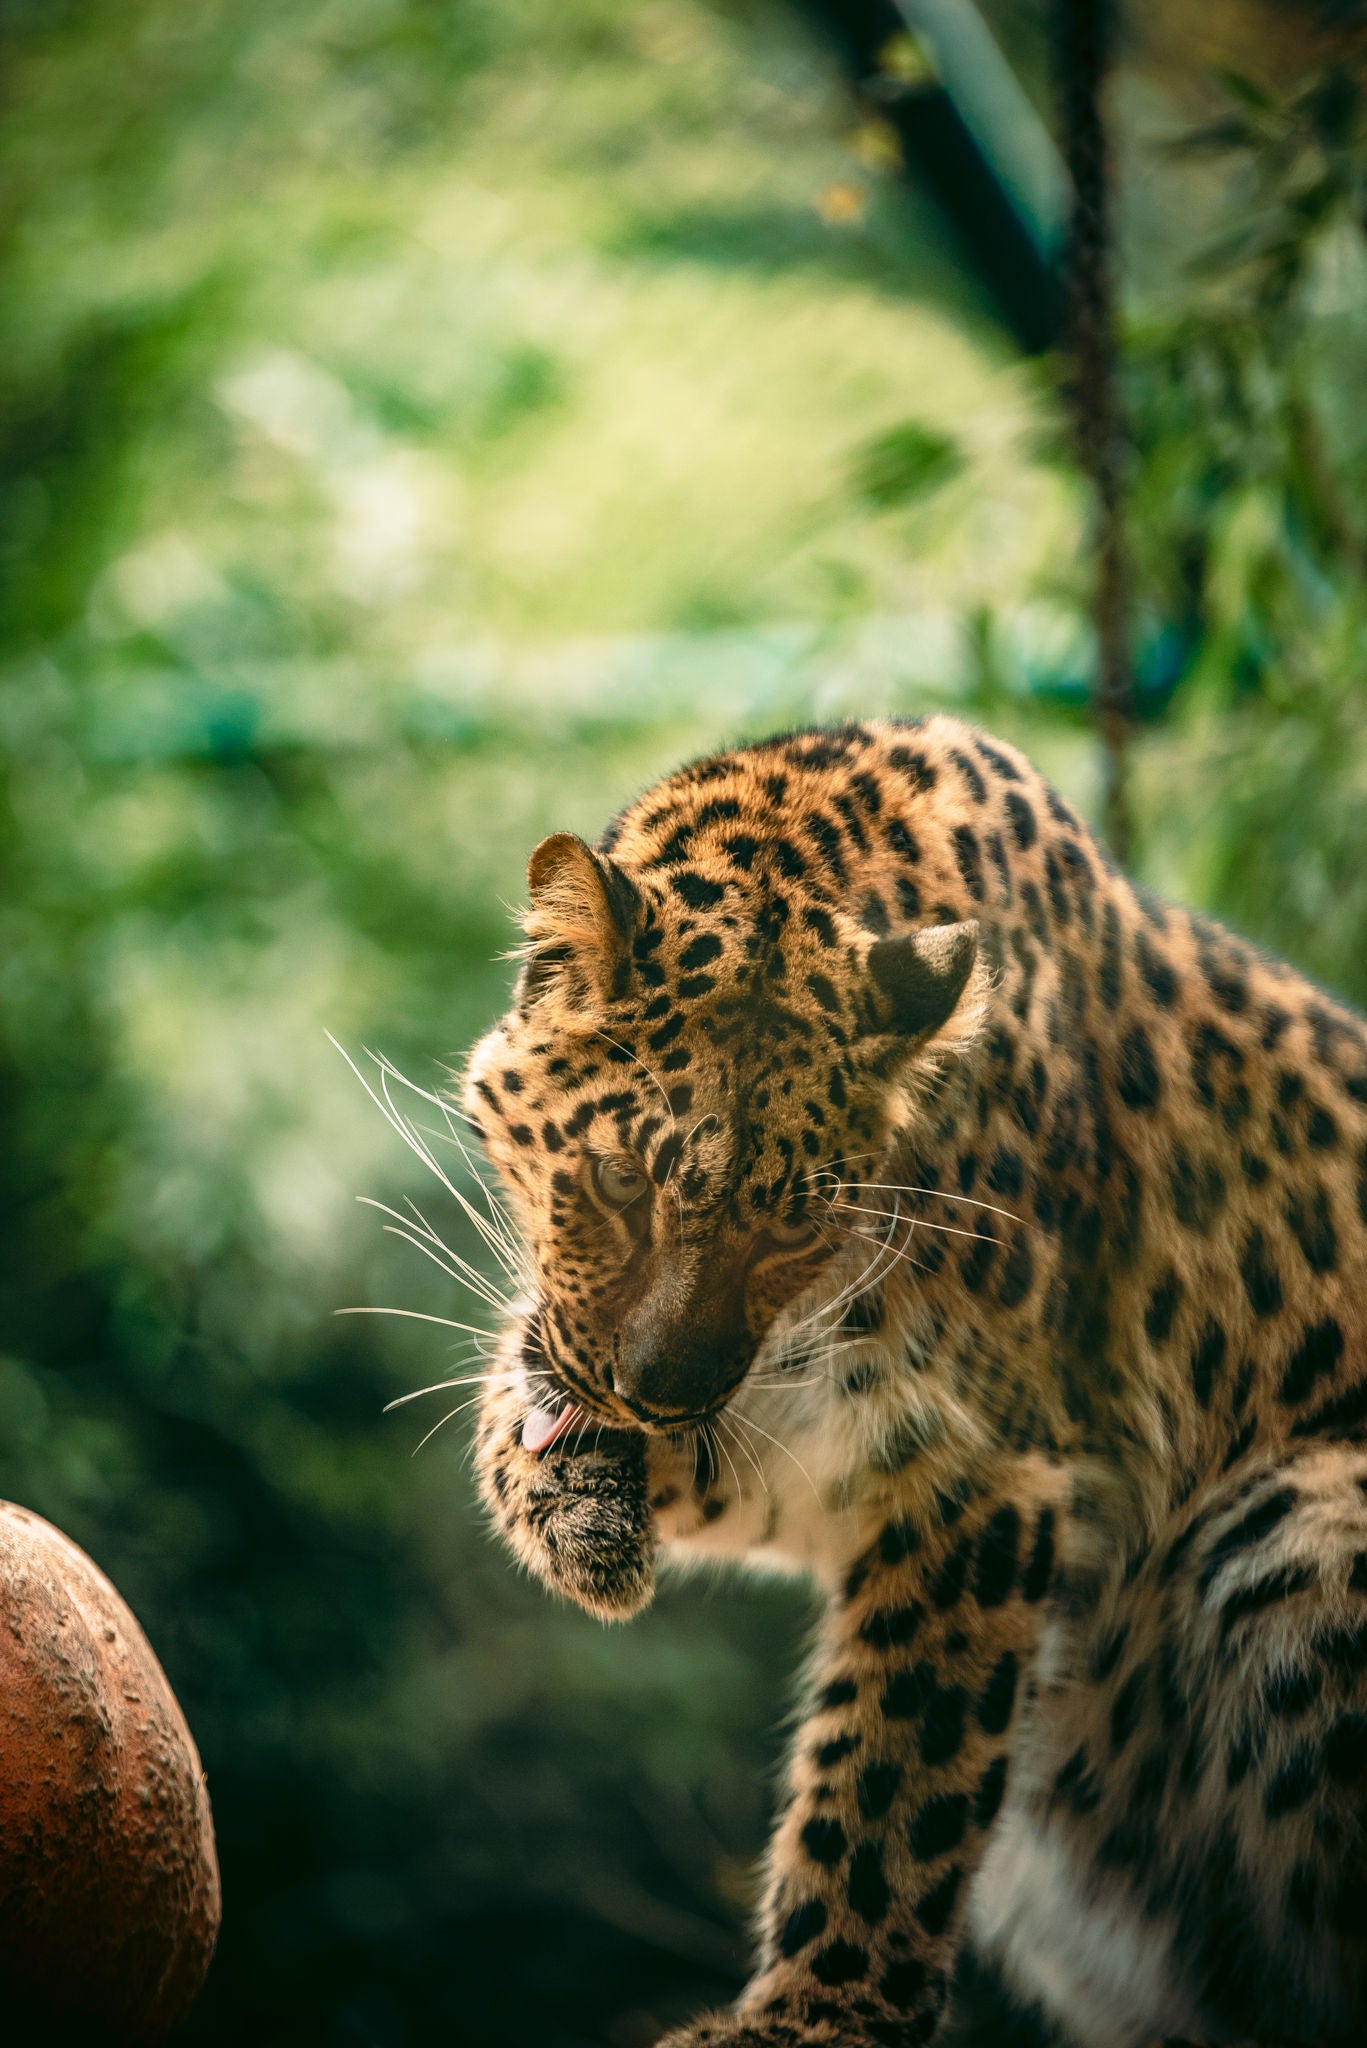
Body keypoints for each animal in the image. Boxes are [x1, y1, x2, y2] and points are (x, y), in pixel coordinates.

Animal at [457, 720, 1367, 2048]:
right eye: (620, 1180)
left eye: (791, 1228)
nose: (653, 1399)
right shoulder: (784, 1438)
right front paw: (574, 1510)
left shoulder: (977, 1464)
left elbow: (893, 1771)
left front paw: (811, 2018)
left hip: (1304, 1520)